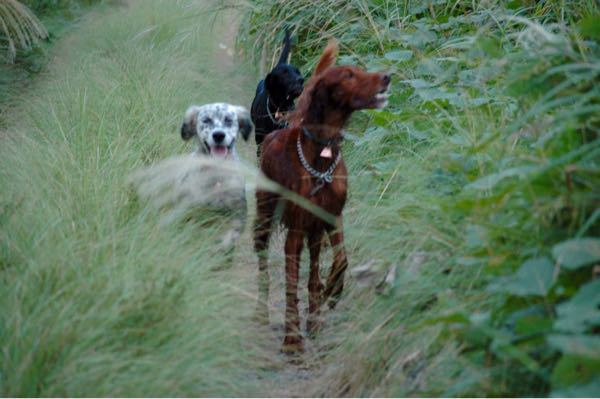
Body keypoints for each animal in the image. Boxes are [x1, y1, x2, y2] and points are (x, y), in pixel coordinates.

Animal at [252, 40, 390, 354]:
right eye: (348, 75)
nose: (386, 77)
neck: (321, 155)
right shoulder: (295, 231)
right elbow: (291, 285)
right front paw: (292, 340)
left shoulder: (332, 217)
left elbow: (341, 262)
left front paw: (333, 292)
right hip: (265, 219)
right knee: (264, 267)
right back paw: (262, 313)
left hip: (314, 234)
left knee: (314, 275)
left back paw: (315, 318)